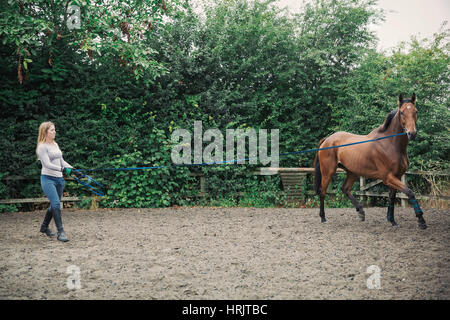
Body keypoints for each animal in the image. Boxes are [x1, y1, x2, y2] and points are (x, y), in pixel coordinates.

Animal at [314, 94, 428, 229]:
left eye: (416, 111)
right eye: (401, 112)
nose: (412, 133)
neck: (390, 144)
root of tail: (328, 139)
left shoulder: (396, 176)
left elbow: (392, 198)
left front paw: (392, 220)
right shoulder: (388, 177)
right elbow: (410, 193)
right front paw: (421, 220)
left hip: (352, 172)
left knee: (345, 189)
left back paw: (361, 212)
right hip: (328, 172)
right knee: (322, 192)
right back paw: (323, 217)